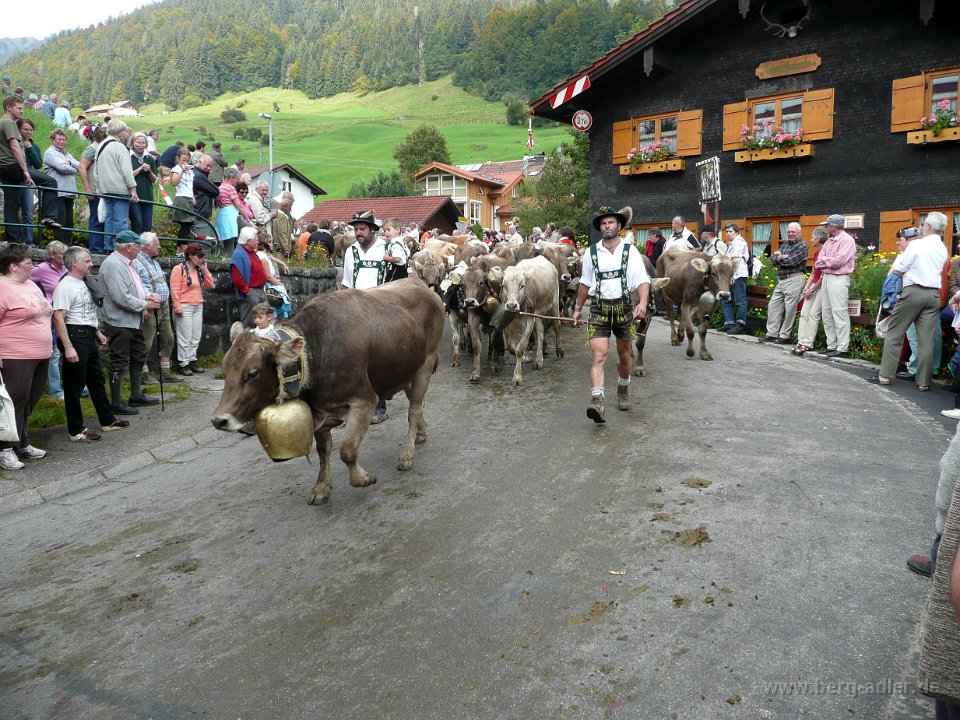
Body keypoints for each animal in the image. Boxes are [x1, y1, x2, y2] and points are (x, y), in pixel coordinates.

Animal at [211, 279, 444, 505]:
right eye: (225, 369)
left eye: (252, 373)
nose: (219, 420)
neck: (316, 349)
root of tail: (424, 287)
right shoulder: (319, 412)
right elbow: (324, 451)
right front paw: (321, 488)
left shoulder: (364, 400)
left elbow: (347, 450)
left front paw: (364, 478)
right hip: (405, 371)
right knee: (419, 404)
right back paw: (421, 433)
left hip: (425, 366)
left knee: (414, 410)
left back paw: (406, 454)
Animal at [500, 255, 563, 386]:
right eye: (504, 285)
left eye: (522, 285)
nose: (512, 305)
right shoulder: (508, 325)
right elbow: (511, 347)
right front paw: (525, 358)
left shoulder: (529, 322)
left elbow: (520, 348)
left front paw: (517, 376)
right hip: (537, 314)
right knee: (540, 333)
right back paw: (538, 360)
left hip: (554, 304)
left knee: (556, 326)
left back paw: (559, 349)